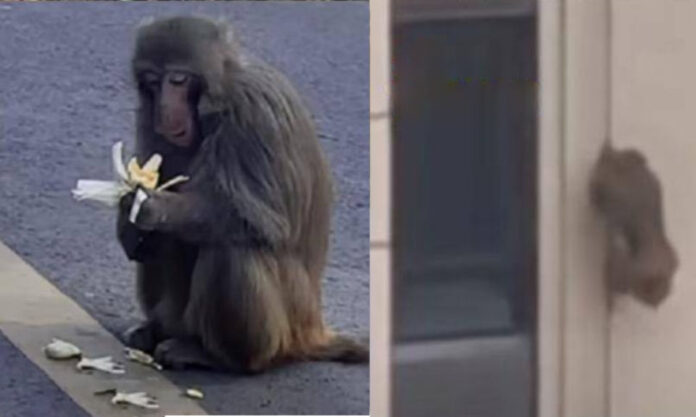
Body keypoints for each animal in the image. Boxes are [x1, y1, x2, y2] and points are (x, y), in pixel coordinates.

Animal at [115, 16, 370, 372]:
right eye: (153, 82)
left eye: (178, 80)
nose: (165, 108)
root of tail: (313, 329)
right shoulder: (147, 117)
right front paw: (128, 220)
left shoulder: (255, 114)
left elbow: (258, 221)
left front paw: (153, 208)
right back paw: (159, 329)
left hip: (285, 326)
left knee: (231, 247)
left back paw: (219, 356)